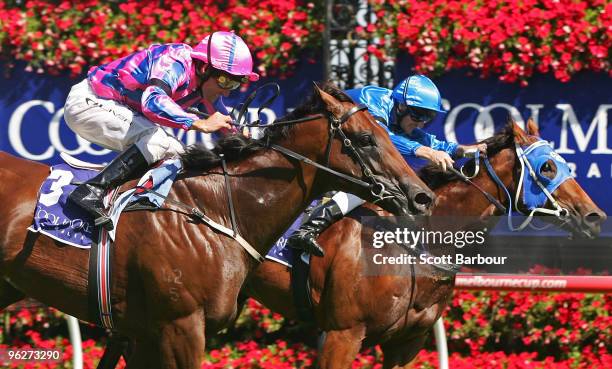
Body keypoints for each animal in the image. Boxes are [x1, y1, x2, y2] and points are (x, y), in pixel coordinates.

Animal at [0, 84, 436, 368]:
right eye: (365, 139)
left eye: (388, 133)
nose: (421, 196)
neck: (215, 212)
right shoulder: (180, 326)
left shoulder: (145, 334)